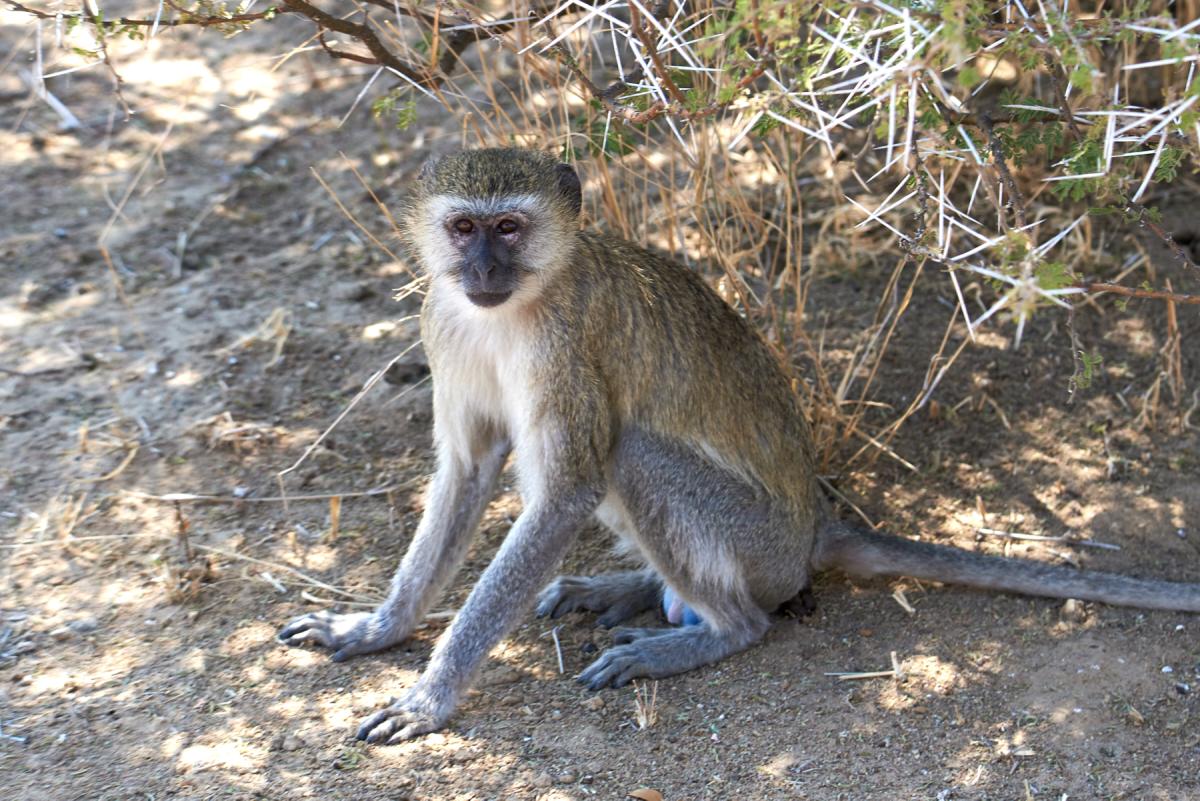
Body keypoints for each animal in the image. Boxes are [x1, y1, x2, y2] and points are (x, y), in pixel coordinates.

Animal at [278, 146, 1200, 743]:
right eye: (464, 228)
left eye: (509, 226)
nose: (482, 271)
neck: (513, 310)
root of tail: (813, 532)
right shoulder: (444, 324)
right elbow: (468, 473)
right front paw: (379, 627)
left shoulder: (567, 346)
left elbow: (567, 490)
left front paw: (432, 694)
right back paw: (632, 589)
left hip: (758, 543)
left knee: (642, 466)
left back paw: (711, 632)